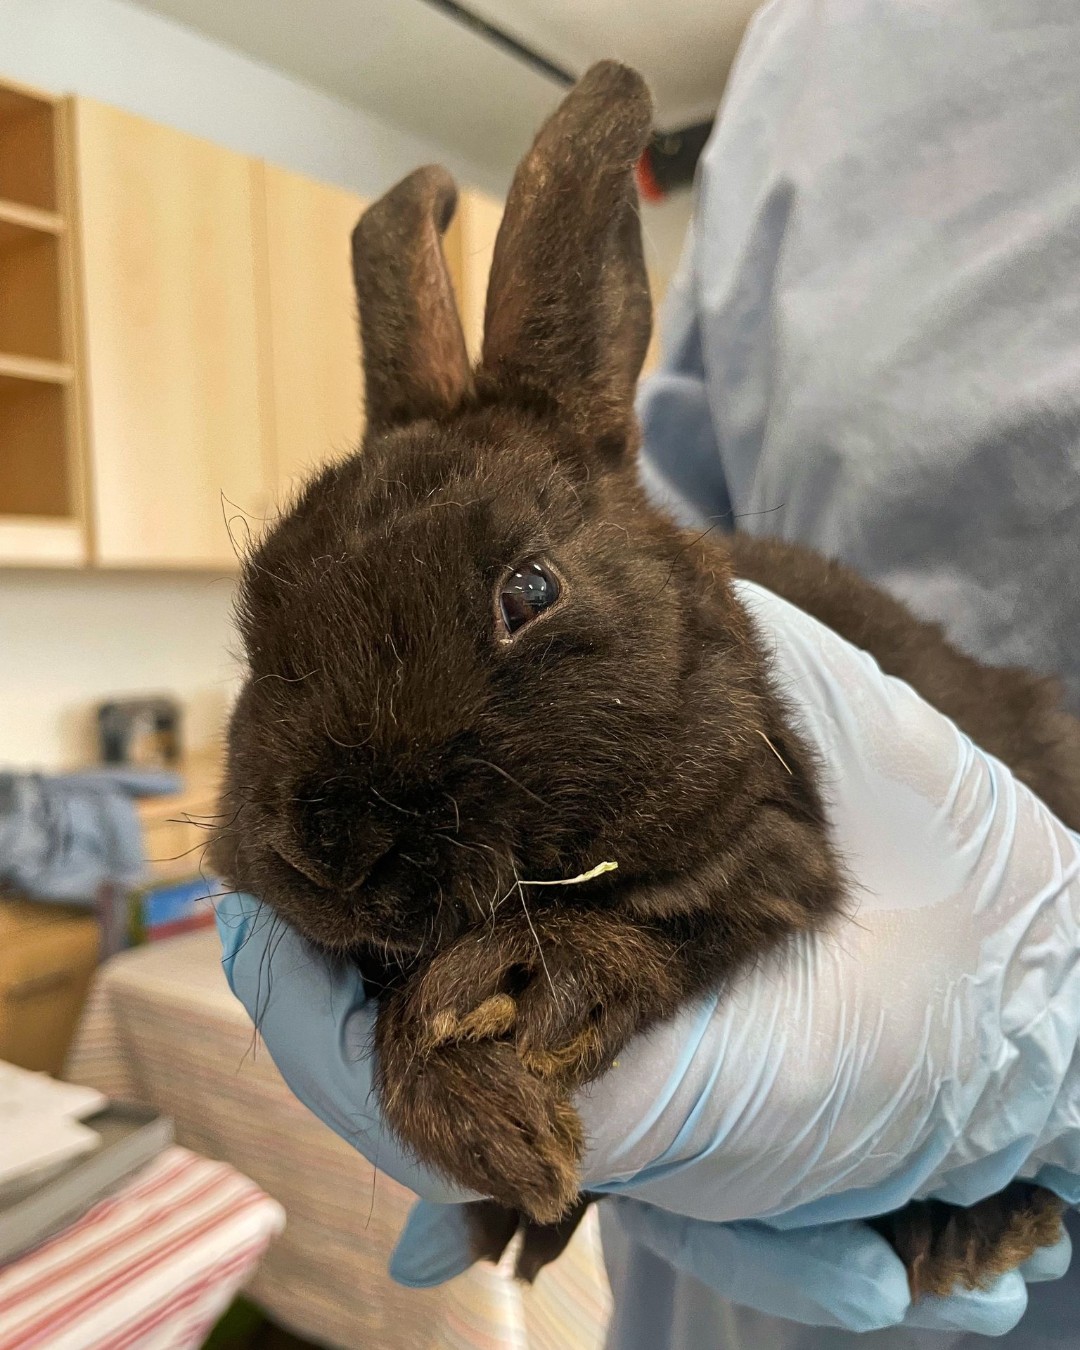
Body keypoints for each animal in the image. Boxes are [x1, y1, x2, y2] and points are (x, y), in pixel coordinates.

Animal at [209, 61, 1079, 1301]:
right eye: (257, 614)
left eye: (530, 589)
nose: (331, 848)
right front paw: (505, 1162)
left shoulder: (773, 844)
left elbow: (635, 931)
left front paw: (499, 1045)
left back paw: (974, 1238)